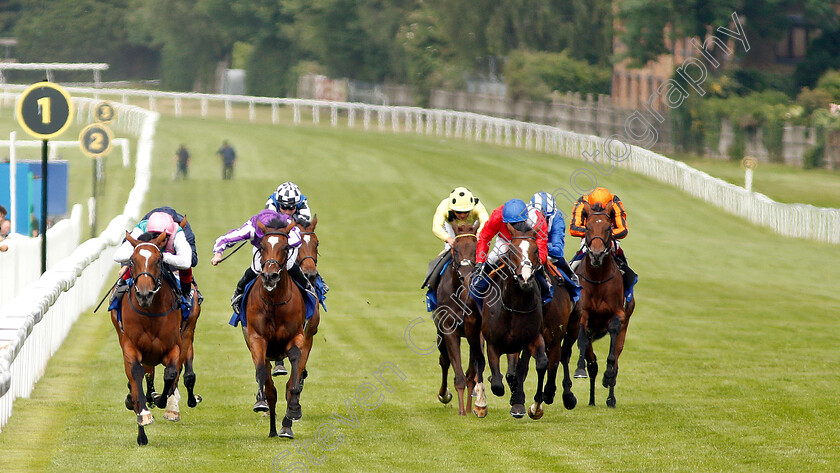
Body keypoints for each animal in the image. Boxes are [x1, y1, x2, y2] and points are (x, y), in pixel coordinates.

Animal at [111, 230, 184, 444]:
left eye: (159, 260)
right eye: (132, 260)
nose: (144, 294)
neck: (150, 313)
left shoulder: (174, 346)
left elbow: (170, 373)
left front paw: (164, 403)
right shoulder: (130, 346)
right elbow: (136, 374)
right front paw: (144, 413)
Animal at [244, 219, 306, 436]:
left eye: (286, 247)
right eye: (262, 246)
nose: (270, 276)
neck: (274, 301)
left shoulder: (298, 335)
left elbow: (295, 360)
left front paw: (294, 408)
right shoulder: (256, 338)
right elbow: (261, 372)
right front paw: (260, 400)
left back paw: (286, 425)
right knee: (270, 386)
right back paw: (271, 427)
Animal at [434, 219, 486, 414]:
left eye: (476, 247)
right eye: (455, 249)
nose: (466, 275)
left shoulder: (477, 332)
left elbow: (471, 374)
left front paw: (471, 407)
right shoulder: (449, 330)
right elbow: (458, 373)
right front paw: (462, 411)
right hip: (440, 335)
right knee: (444, 360)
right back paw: (443, 394)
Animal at [476, 221, 548, 416]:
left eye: (536, 250)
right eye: (512, 250)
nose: (525, 278)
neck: (515, 305)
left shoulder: (532, 337)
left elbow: (540, 364)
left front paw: (535, 407)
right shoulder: (493, 343)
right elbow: (497, 383)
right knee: (478, 360)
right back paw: (480, 403)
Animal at [576, 201, 636, 408]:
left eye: (608, 228)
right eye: (587, 227)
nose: (596, 255)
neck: (598, 279)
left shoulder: (618, 313)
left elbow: (612, 352)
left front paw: (608, 375)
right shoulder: (584, 315)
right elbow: (584, 344)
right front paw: (580, 369)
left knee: (616, 356)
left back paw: (610, 397)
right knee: (592, 362)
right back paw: (592, 399)